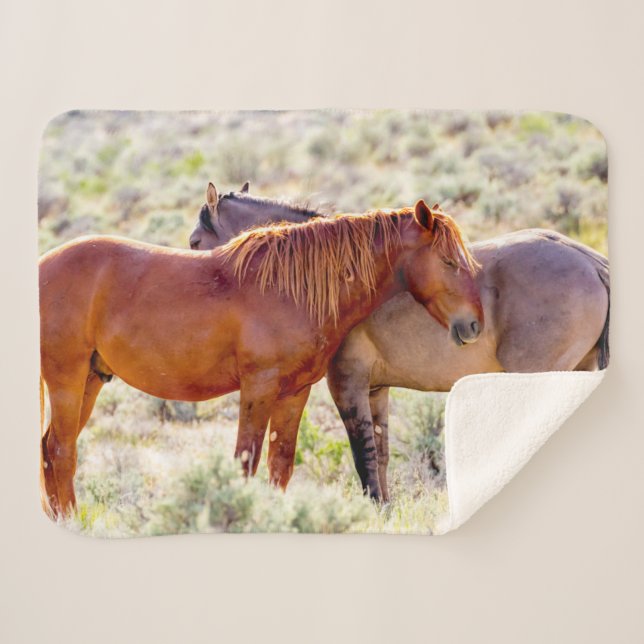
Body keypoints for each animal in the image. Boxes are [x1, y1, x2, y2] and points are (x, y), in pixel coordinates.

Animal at [39, 200, 483, 517]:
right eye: (448, 261)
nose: (474, 324)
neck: (292, 288)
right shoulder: (258, 388)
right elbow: (246, 462)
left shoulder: (294, 393)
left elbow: (280, 465)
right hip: (66, 381)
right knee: (61, 452)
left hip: (90, 381)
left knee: (51, 450)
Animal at [189, 186, 609, 501]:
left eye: (194, 242)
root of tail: (590, 261)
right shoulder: (377, 390)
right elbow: (382, 456)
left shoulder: (347, 384)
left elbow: (363, 458)